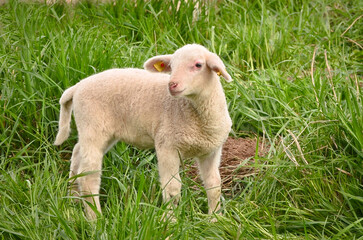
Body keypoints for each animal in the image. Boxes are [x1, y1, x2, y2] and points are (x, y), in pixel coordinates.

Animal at [54, 44, 233, 220]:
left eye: (198, 65)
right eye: (172, 66)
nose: (172, 85)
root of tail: (77, 87)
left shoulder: (212, 150)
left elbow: (214, 185)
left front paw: (215, 219)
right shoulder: (167, 146)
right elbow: (172, 190)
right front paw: (170, 222)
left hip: (100, 132)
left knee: (77, 153)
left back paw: (72, 202)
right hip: (93, 126)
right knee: (87, 177)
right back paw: (95, 219)